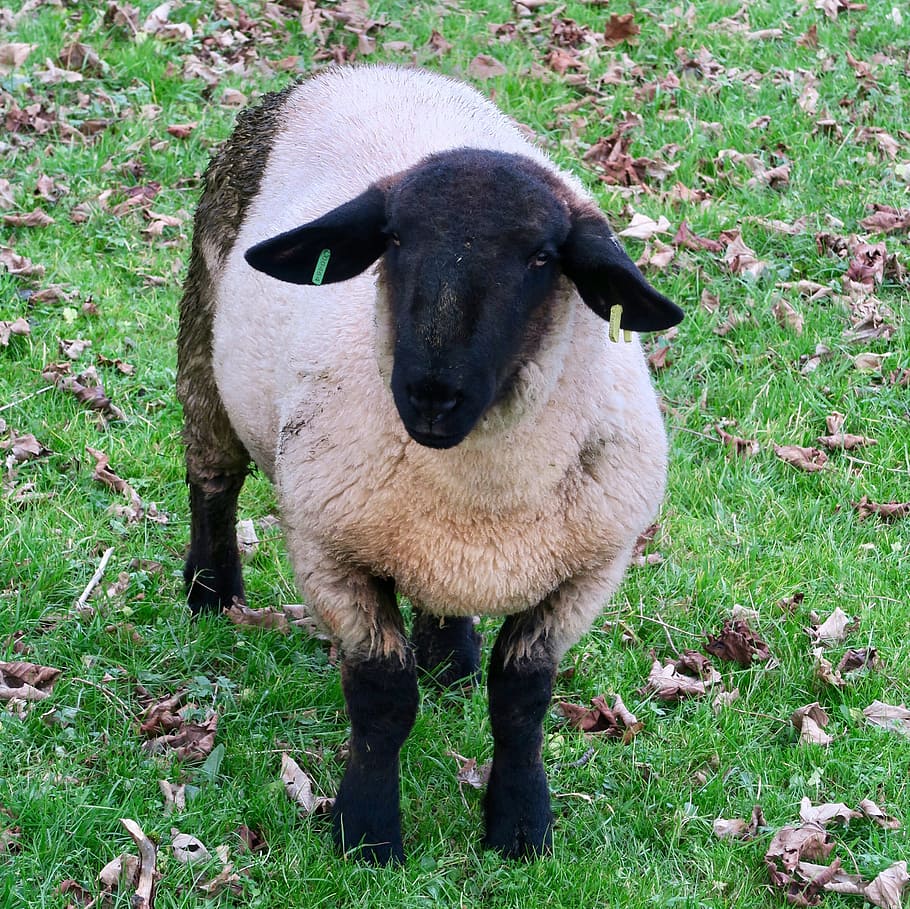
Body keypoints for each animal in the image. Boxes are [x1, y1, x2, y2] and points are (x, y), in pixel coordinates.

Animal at [177, 64, 683, 865]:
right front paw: (366, 832)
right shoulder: (330, 552)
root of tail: (365, 67)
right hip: (202, 338)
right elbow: (384, 698)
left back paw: (450, 658)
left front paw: (519, 827)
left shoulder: (588, 572)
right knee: (212, 478)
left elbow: (521, 699)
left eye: (542, 258)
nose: (431, 394)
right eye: (393, 238)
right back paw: (210, 591)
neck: (484, 494)